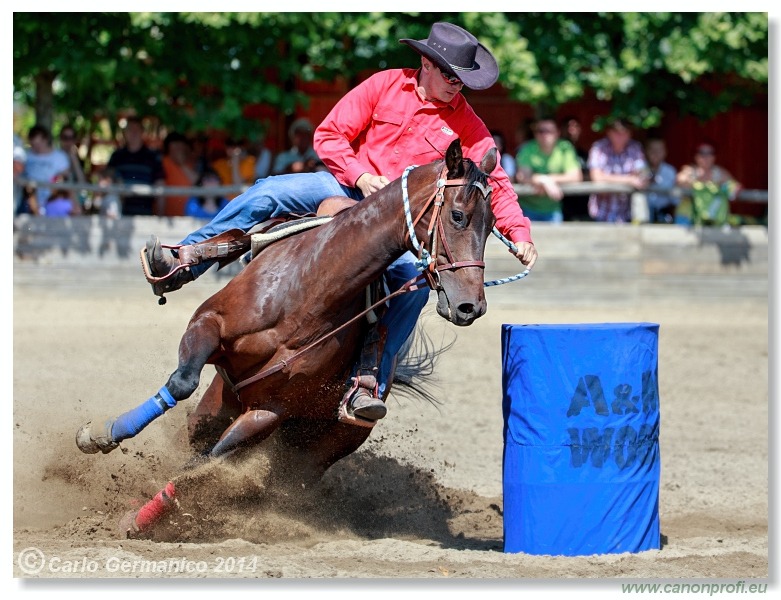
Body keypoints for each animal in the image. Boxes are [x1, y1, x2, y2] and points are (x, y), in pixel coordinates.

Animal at [76, 138, 496, 536]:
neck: (310, 288)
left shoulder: (267, 411)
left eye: (492, 224)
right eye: (458, 215)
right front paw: (100, 434)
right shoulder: (207, 324)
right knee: (196, 431)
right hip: (219, 401)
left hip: (325, 443)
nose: (470, 306)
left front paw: (138, 518)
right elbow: (181, 383)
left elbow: (207, 464)